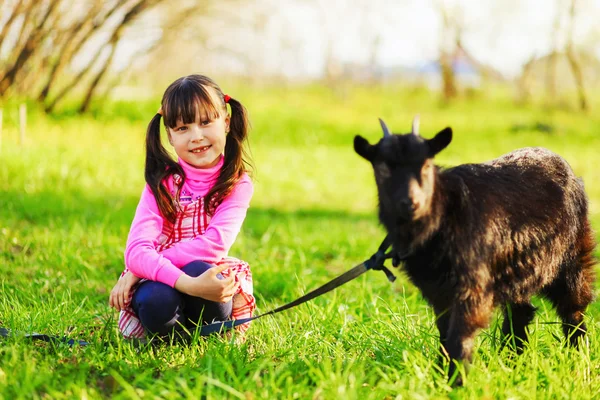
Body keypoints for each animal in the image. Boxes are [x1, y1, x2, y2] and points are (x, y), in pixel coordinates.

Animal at [356, 118, 596, 384]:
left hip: (574, 257)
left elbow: (460, 333)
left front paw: (456, 382)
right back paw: (511, 361)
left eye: (427, 165)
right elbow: (445, 331)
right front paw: (441, 374)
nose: (410, 203)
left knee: (573, 309)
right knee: (521, 312)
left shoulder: (472, 284)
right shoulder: (437, 290)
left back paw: (578, 358)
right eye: (382, 167)